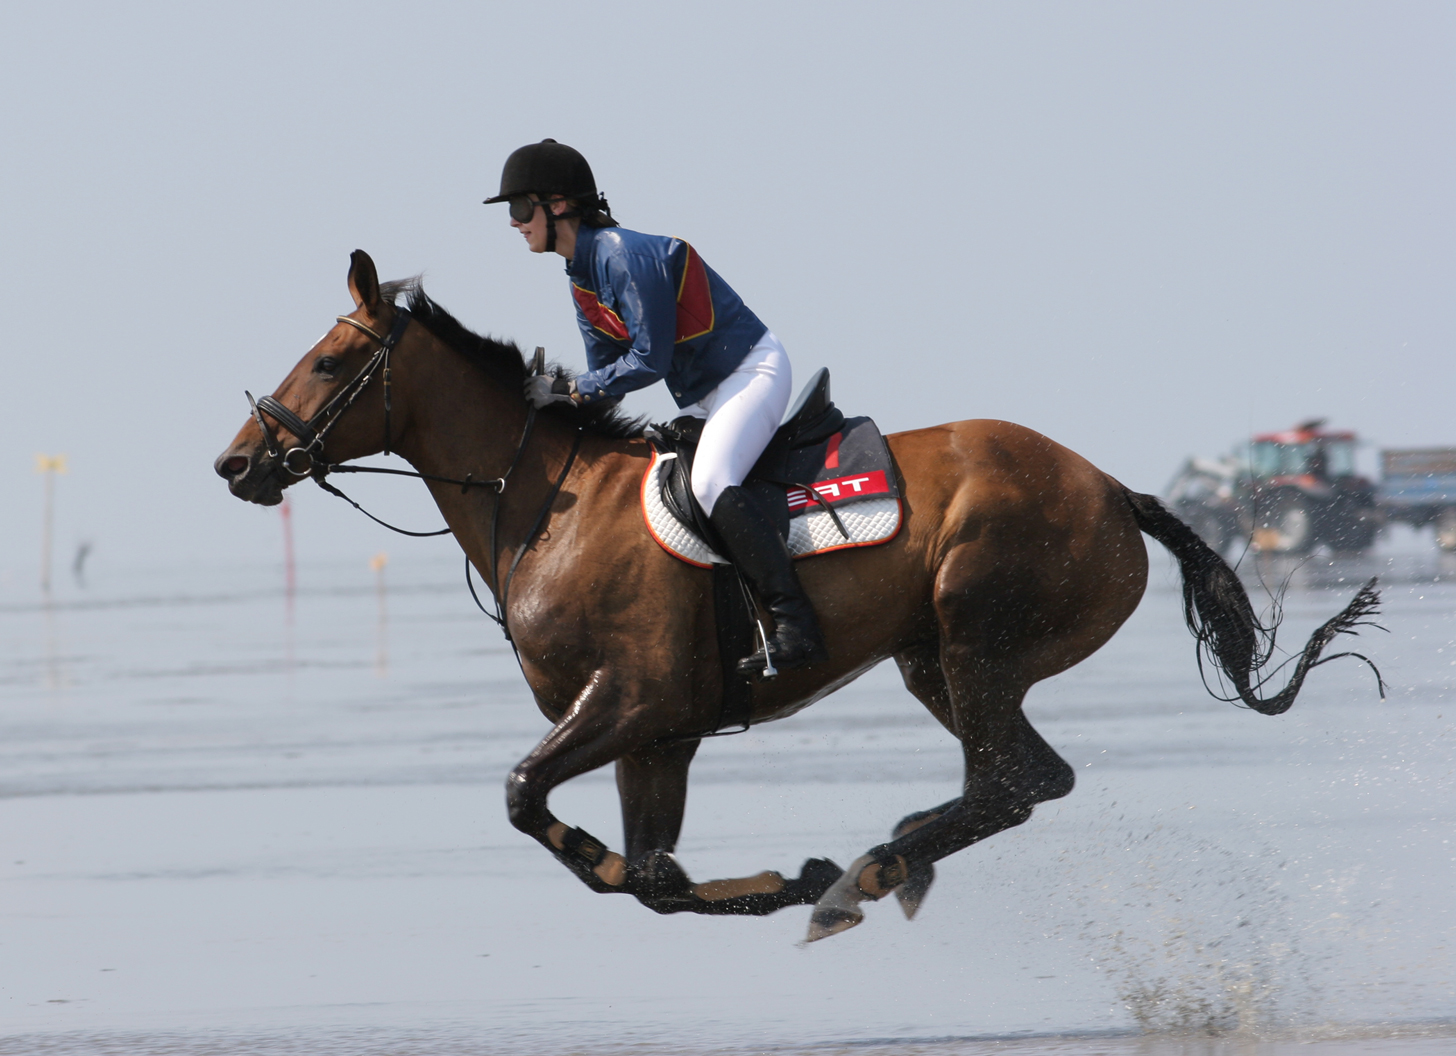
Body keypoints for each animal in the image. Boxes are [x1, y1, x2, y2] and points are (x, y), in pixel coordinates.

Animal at [212, 253, 1374, 938]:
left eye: (329, 363)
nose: (236, 464)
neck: (543, 503)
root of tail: (1112, 489)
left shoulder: (630, 702)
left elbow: (529, 801)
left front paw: (794, 875)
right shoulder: (659, 736)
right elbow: (648, 877)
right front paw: (765, 878)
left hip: (976, 635)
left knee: (1007, 783)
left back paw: (868, 870)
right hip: (932, 659)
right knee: (1027, 780)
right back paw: (869, 868)